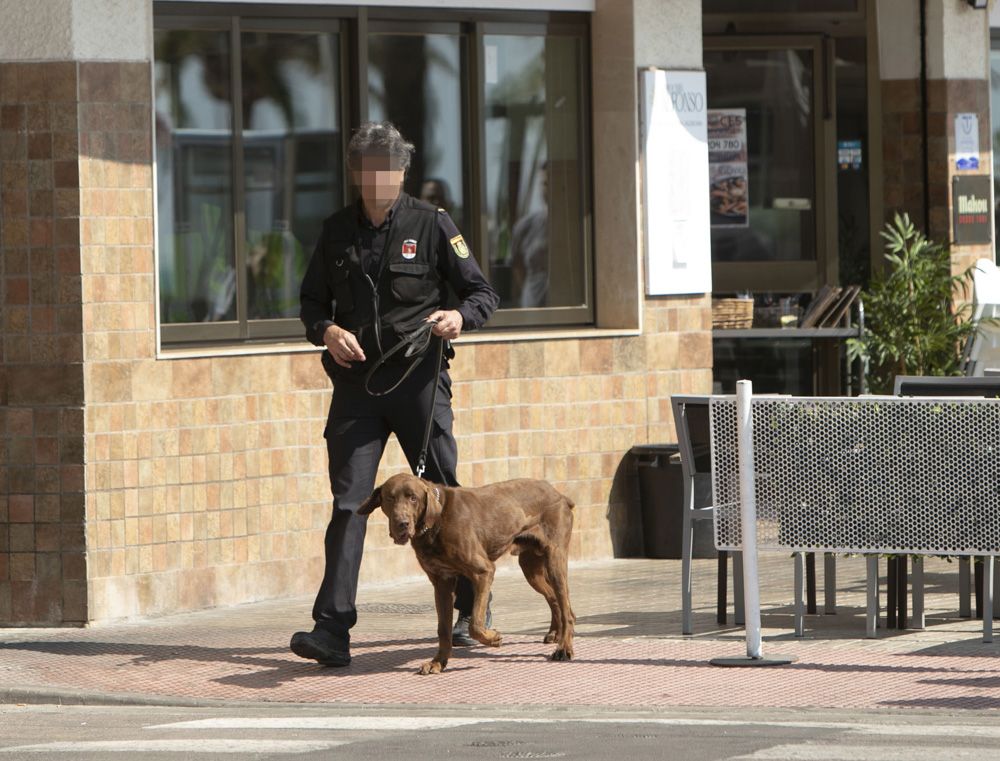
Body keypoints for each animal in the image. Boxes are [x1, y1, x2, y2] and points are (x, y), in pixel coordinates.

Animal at [360, 472, 580, 672]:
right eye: (390, 498)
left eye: (413, 497)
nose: (402, 524)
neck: (436, 522)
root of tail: (558, 494)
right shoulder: (442, 582)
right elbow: (443, 629)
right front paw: (438, 662)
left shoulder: (483, 572)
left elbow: (475, 624)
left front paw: (493, 638)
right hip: (531, 568)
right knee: (555, 599)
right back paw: (556, 633)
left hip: (555, 559)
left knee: (565, 606)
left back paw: (564, 648)